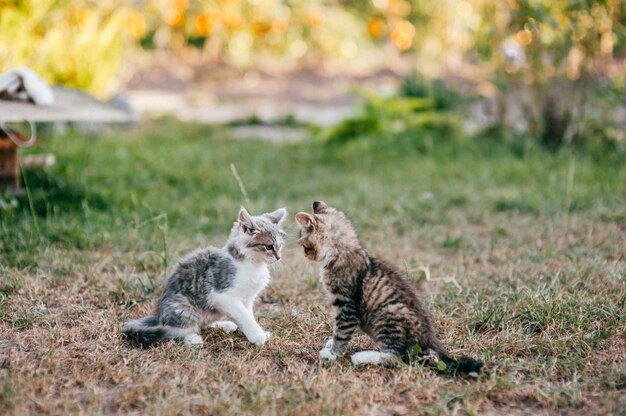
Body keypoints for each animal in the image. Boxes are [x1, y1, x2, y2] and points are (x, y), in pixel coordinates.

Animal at [121, 207, 286, 348]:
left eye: (280, 246)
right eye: (269, 246)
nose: (278, 257)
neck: (252, 264)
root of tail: (159, 317)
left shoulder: (247, 298)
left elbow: (247, 314)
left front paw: (256, 332)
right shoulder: (221, 295)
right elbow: (243, 315)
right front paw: (257, 335)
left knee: (202, 323)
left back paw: (224, 324)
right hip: (183, 307)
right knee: (176, 330)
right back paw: (193, 339)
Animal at [294, 200, 480, 372]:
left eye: (305, 245)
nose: (305, 255)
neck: (341, 251)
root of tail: (429, 340)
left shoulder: (347, 307)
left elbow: (341, 333)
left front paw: (333, 353)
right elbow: (337, 331)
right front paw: (331, 345)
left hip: (388, 315)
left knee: (397, 358)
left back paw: (362, 357)